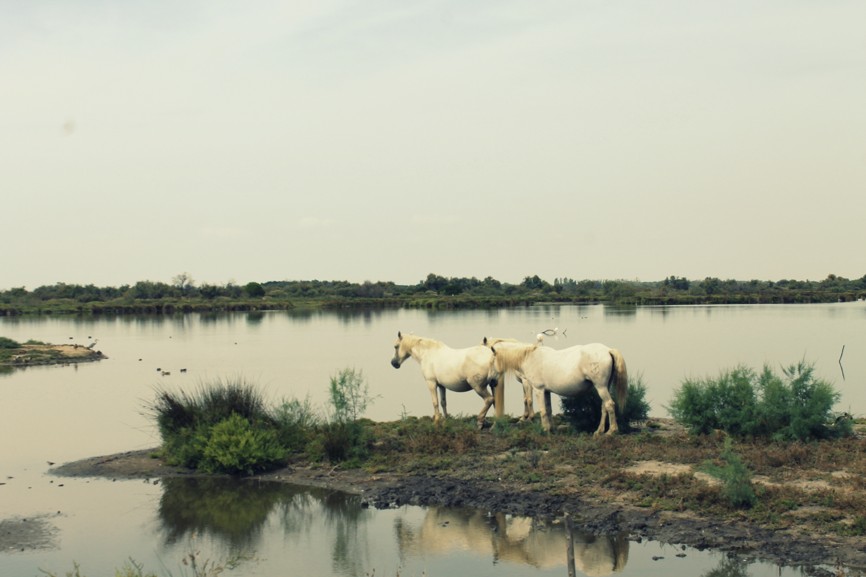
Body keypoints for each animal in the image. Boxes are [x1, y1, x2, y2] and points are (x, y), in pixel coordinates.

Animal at [486, 338, 628, 432]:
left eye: (492, 360)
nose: (491, 381)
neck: (529, 357)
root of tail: (608, 350)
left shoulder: (538, 389)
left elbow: (543, 411)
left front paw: (544, 429)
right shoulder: (546, 391)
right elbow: (548, 410)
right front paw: (551, 428)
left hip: (601, 387)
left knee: (610, 405)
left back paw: (611, 431)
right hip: (604, 387)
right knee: (604, 407)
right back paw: (599, 431)